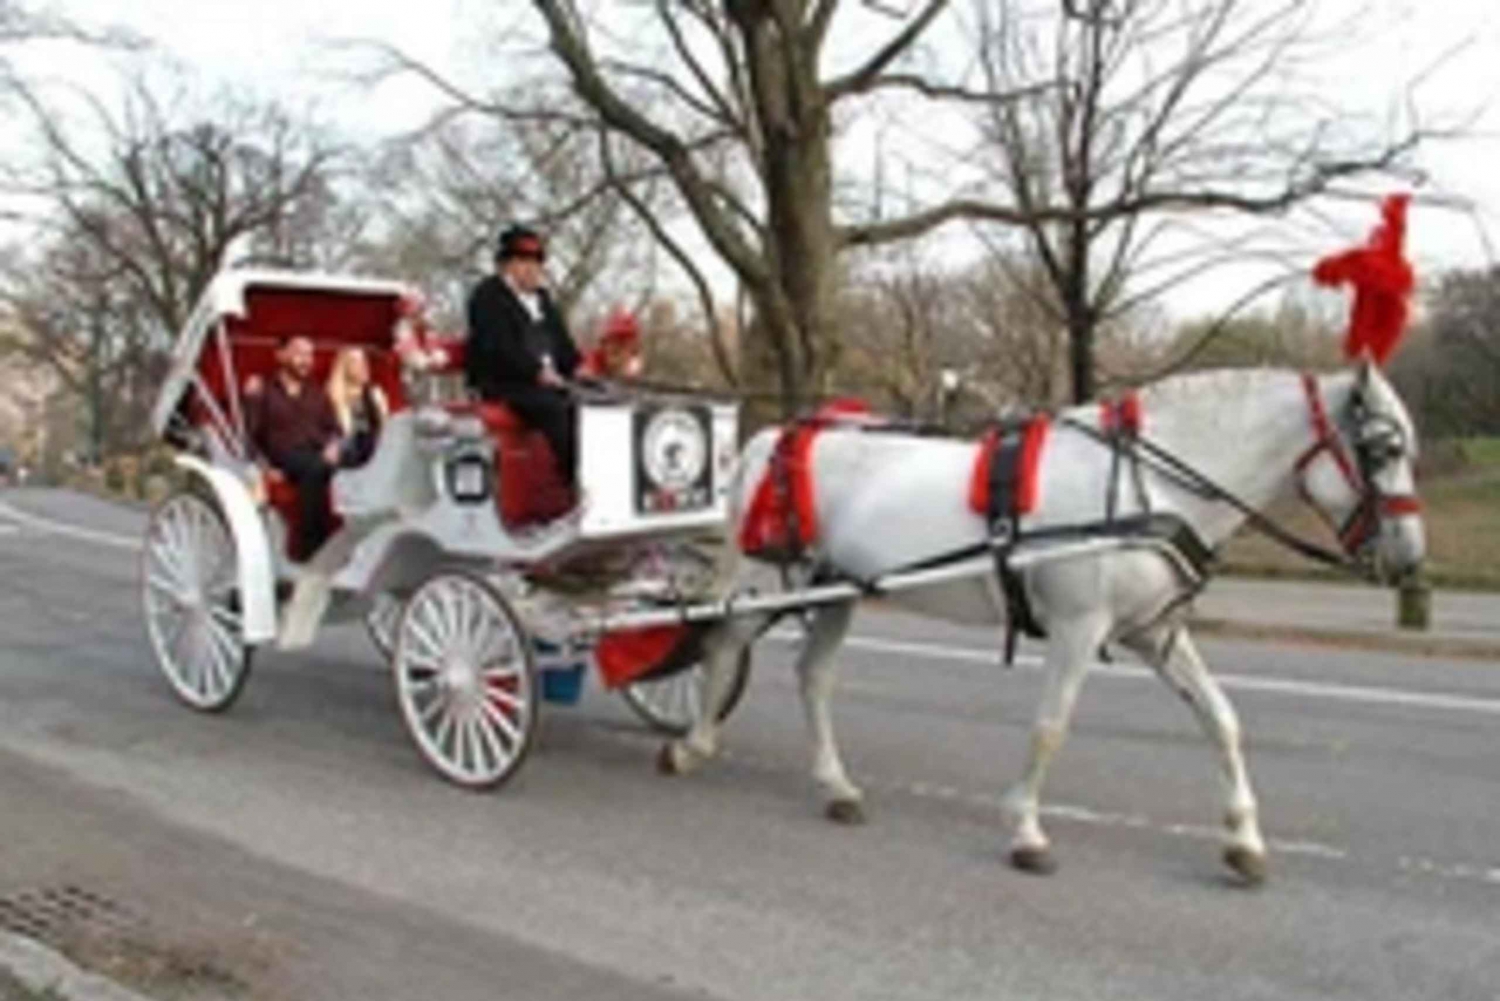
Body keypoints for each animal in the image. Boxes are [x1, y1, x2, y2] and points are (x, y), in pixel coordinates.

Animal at [663, 361, 1422, 882]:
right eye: (1383, 449)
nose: (1410, 560)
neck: (1150, 483)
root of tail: (779, 435)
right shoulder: (1078, 628)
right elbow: (1051, 726)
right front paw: (1025, 829)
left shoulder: (1155, 634)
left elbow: (1221, 719)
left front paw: (1243, 839)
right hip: (769, 582)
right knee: (722, 639)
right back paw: (693, 744)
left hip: (835, 589)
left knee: (813, 675)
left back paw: (836, 785)